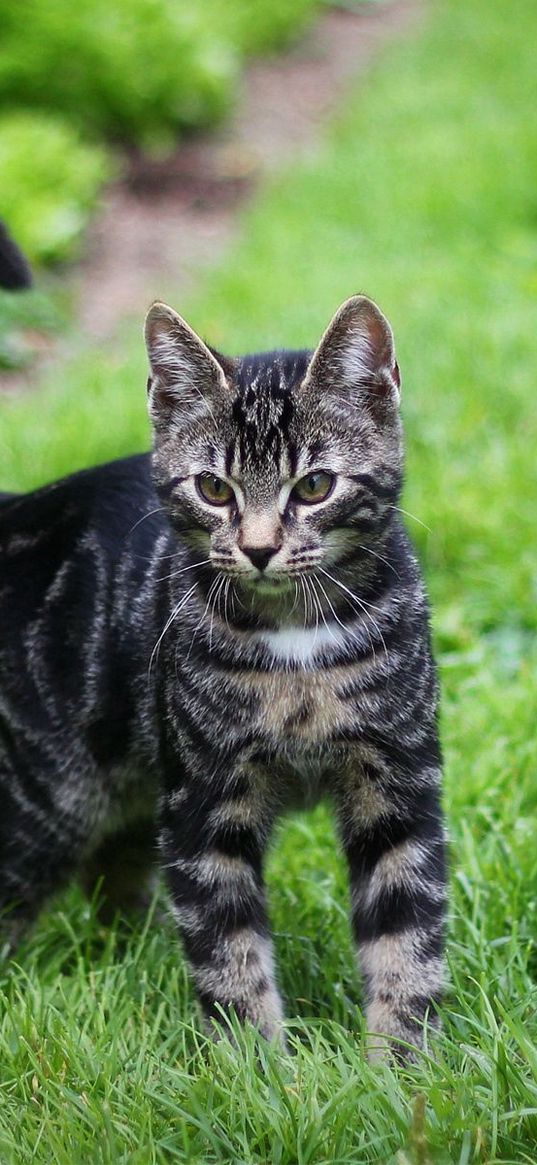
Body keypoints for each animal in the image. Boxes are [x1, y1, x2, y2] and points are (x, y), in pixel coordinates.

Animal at [0, 295, 442, 1062]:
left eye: (315, 485)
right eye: (213, 488)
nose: (259, 548)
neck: (296, 644)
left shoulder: (398, 779)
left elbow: (406, 935)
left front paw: (407, 1067)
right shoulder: (204, 801)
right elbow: (228, 948)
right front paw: (256, 1069)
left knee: (113, 867)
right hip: (45, 803)